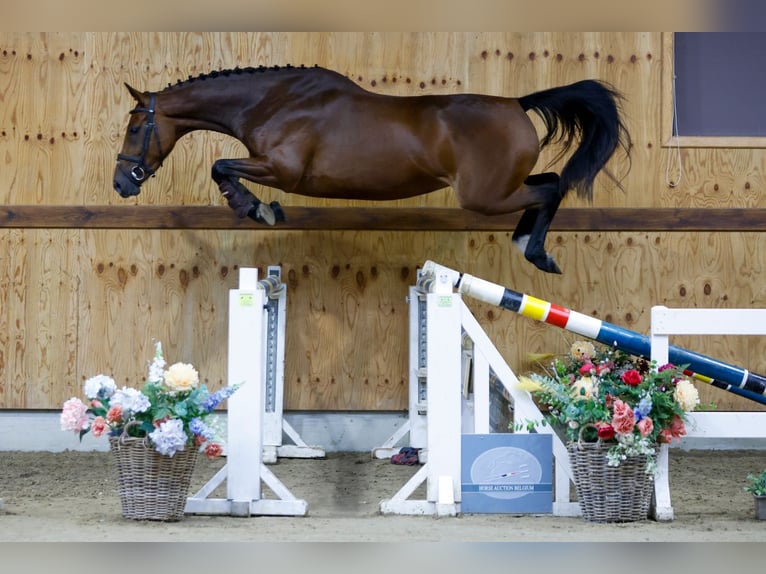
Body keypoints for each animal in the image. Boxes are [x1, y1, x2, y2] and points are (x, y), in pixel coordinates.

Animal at [112, 66, 632, 274]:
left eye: (135, 127)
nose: (120, 184)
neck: (275, 100)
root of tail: (517, 103)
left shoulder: (281, 170)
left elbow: (221, 166)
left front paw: (256, 209)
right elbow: (222, 165)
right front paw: (255, 207)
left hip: (484, 196)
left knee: (551, 189)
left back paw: (537, 253)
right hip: (498, 190)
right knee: (550, 183)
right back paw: (529, 245)